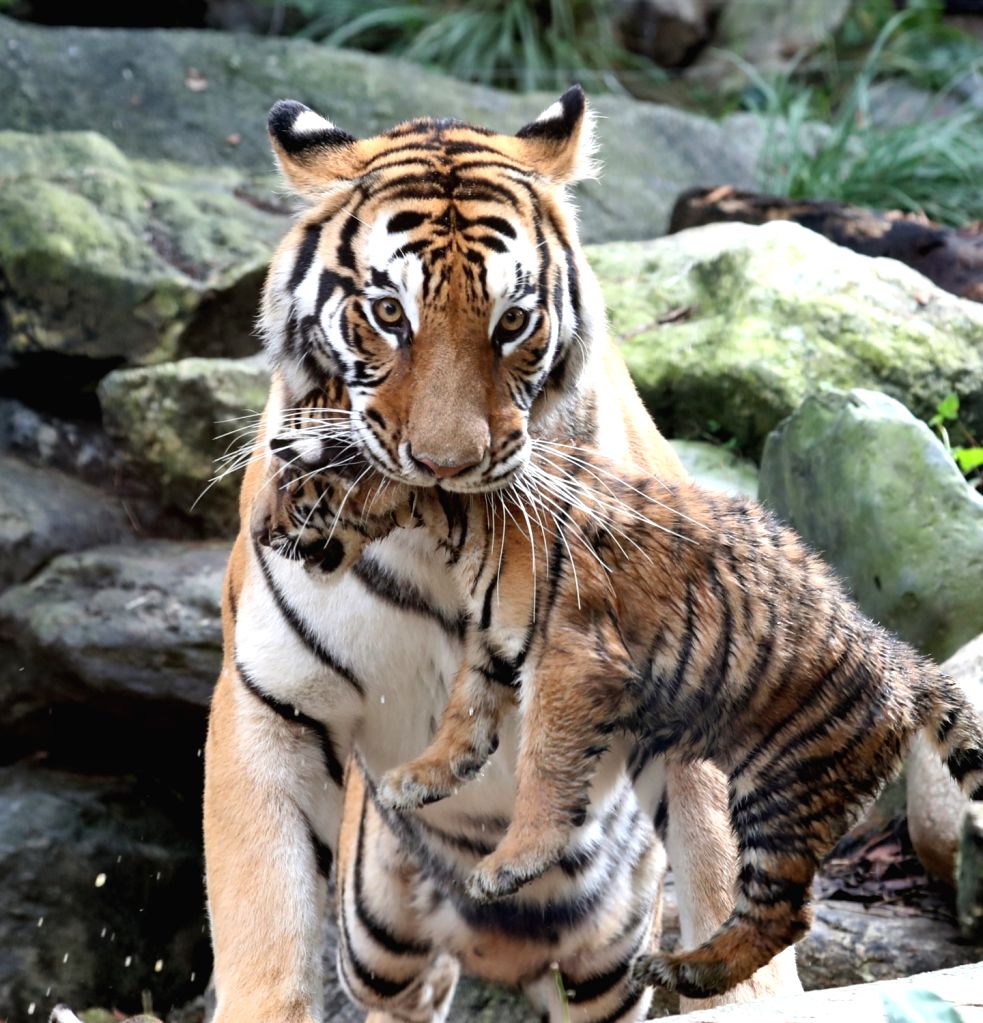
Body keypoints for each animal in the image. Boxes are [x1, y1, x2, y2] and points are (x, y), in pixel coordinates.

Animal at [203, 86, 803, 1023]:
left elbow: (727, 882)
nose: (445, 463)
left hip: (604, 957)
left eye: (512, 321)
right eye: (388, 314)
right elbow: (264, 932)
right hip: (380, 940)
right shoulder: (269, 704)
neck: (438, 541)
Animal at [260, 391, 983, 1001]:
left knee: (785, 912)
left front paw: (508, 864)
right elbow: (466, 713)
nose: (262, 531)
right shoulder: (497, 643)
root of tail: (906, 667)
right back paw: (684, 970)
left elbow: (544, 769)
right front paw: (418, 777)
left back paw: (687, 971)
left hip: (784, 787)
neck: (446, 516)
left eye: (292, 486)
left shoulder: (570, 659)